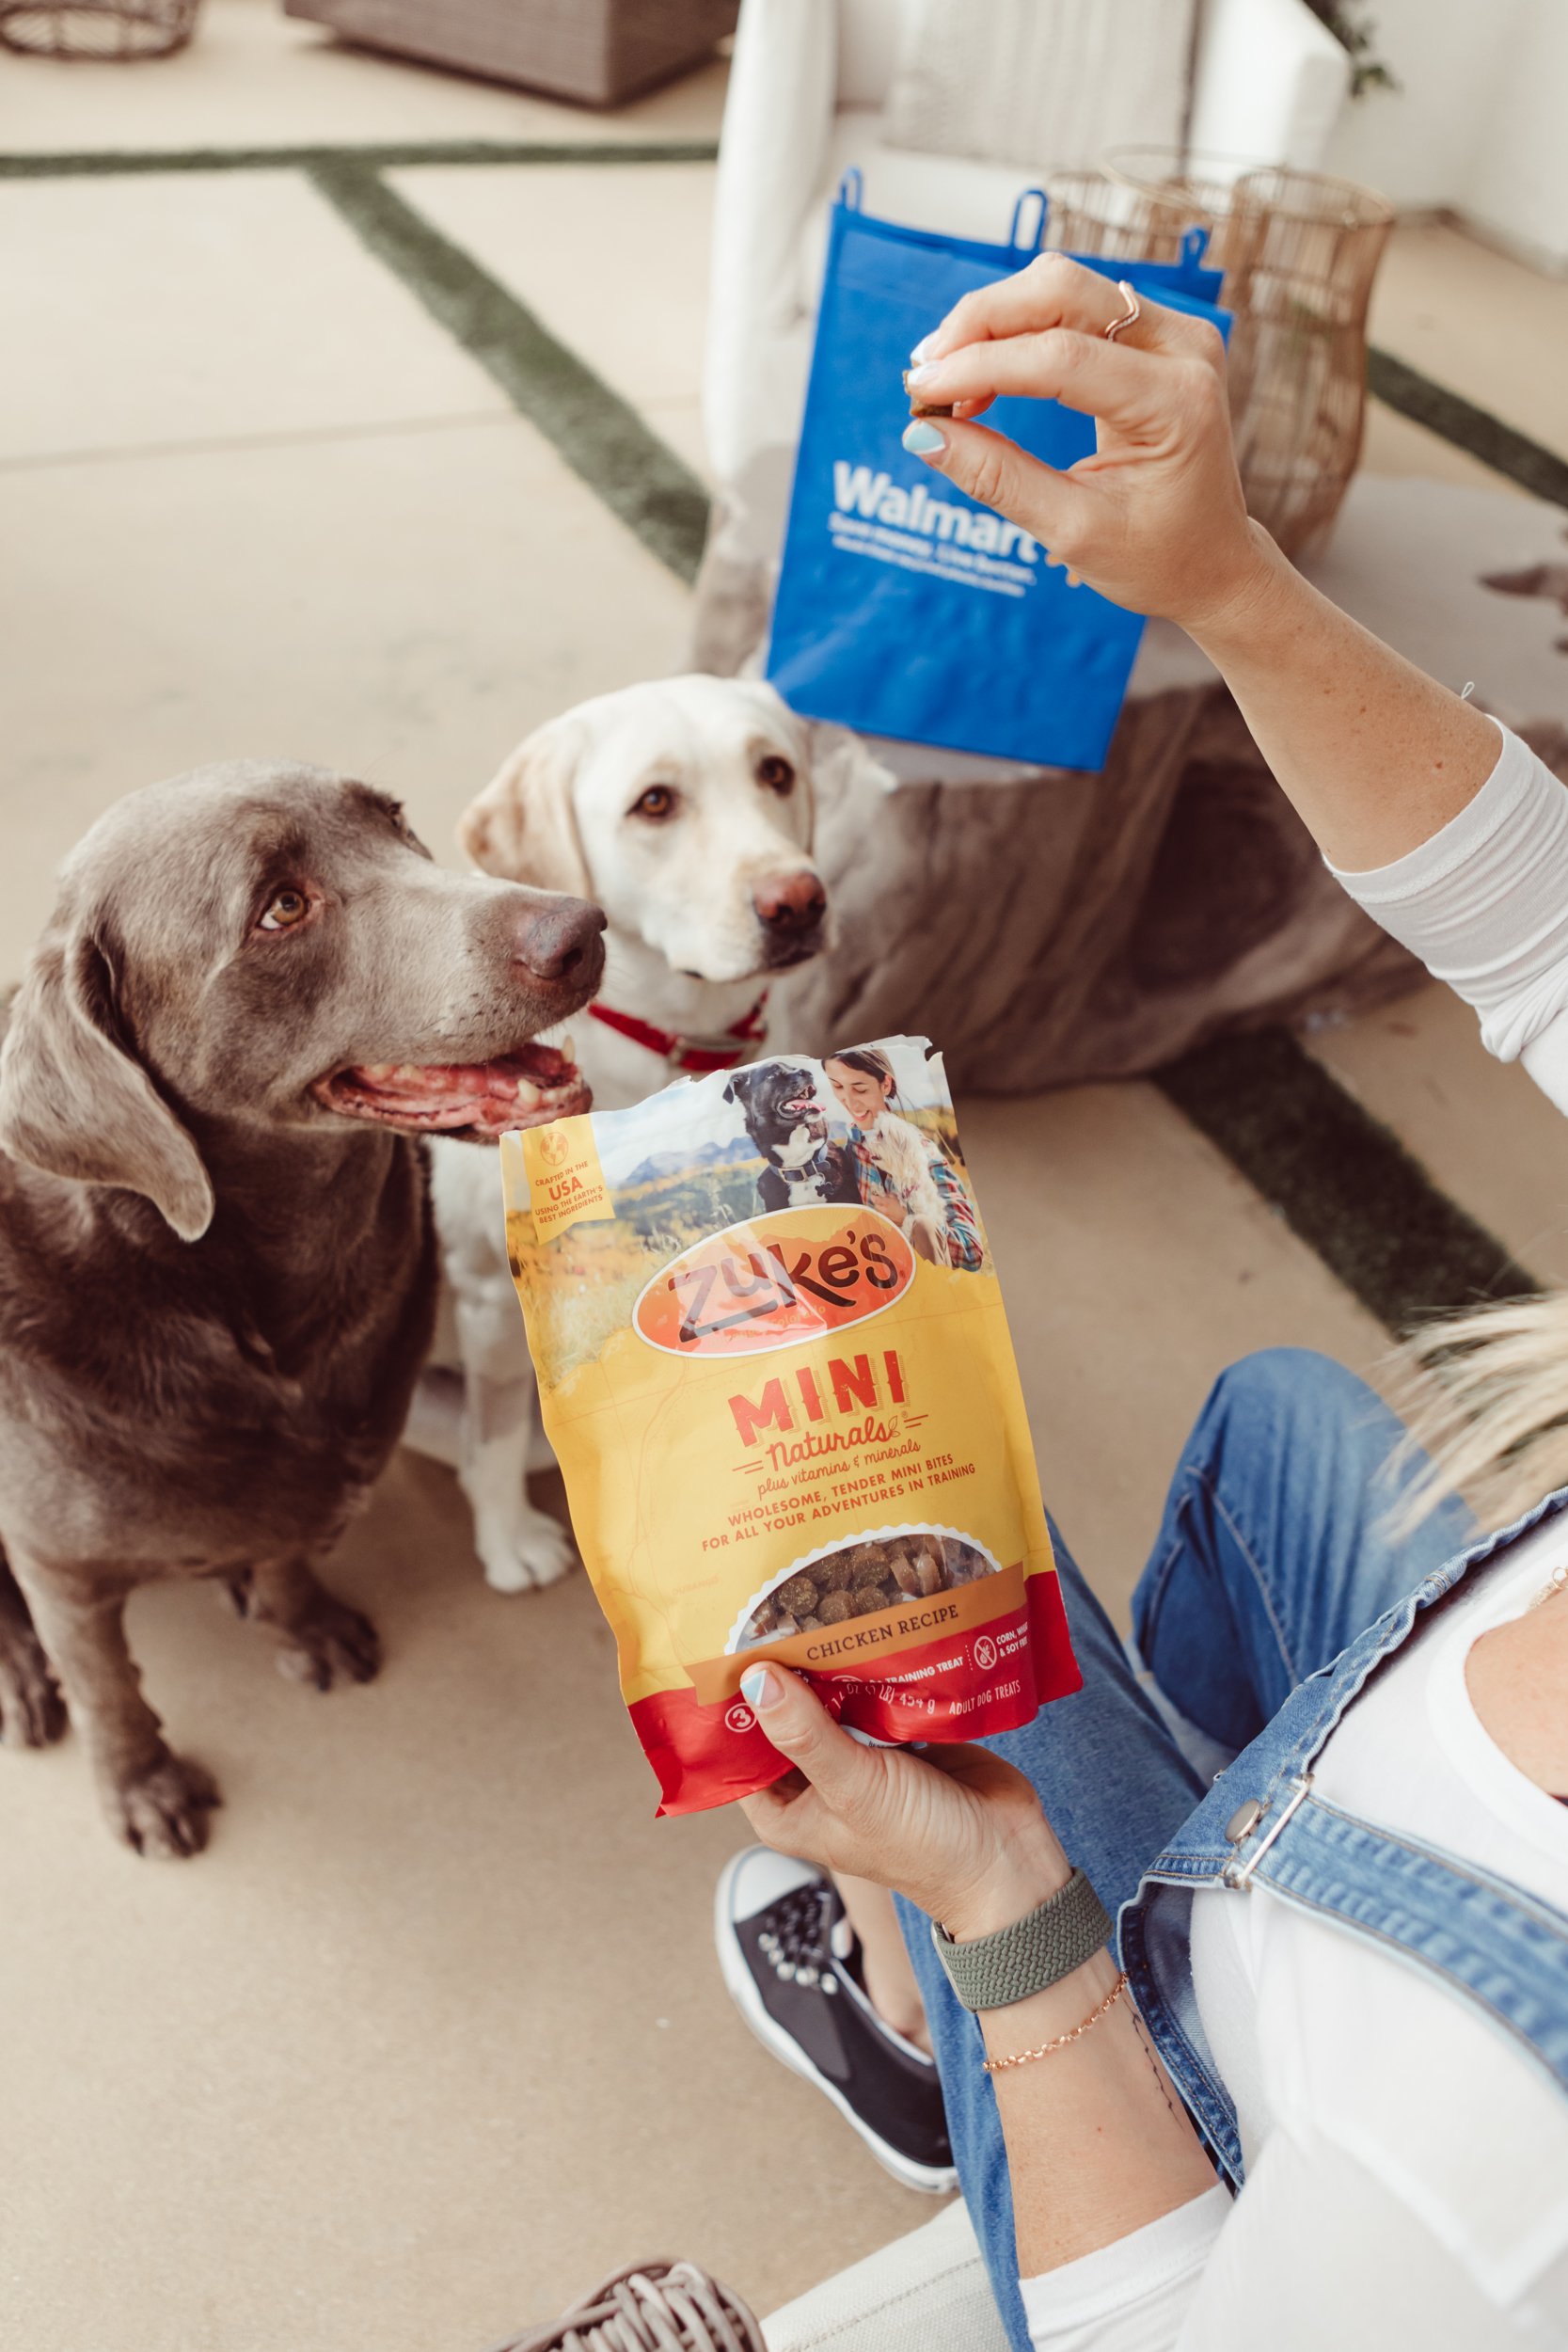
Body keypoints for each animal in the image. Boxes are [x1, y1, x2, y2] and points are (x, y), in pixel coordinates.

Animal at [0, 762, 601, 1863]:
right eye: (280, 907)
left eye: (396, 822)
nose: (582, 927)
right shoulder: (59, 1567)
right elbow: (108, 1689)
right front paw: (143, 1787)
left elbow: (284, 1547)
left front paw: (299, 1618)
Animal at [413, 682, 832, 1599]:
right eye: (655, 803)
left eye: (775, 771)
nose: (796, 900)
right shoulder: (494, 1296)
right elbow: (496, 1432)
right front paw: (508, 1541)